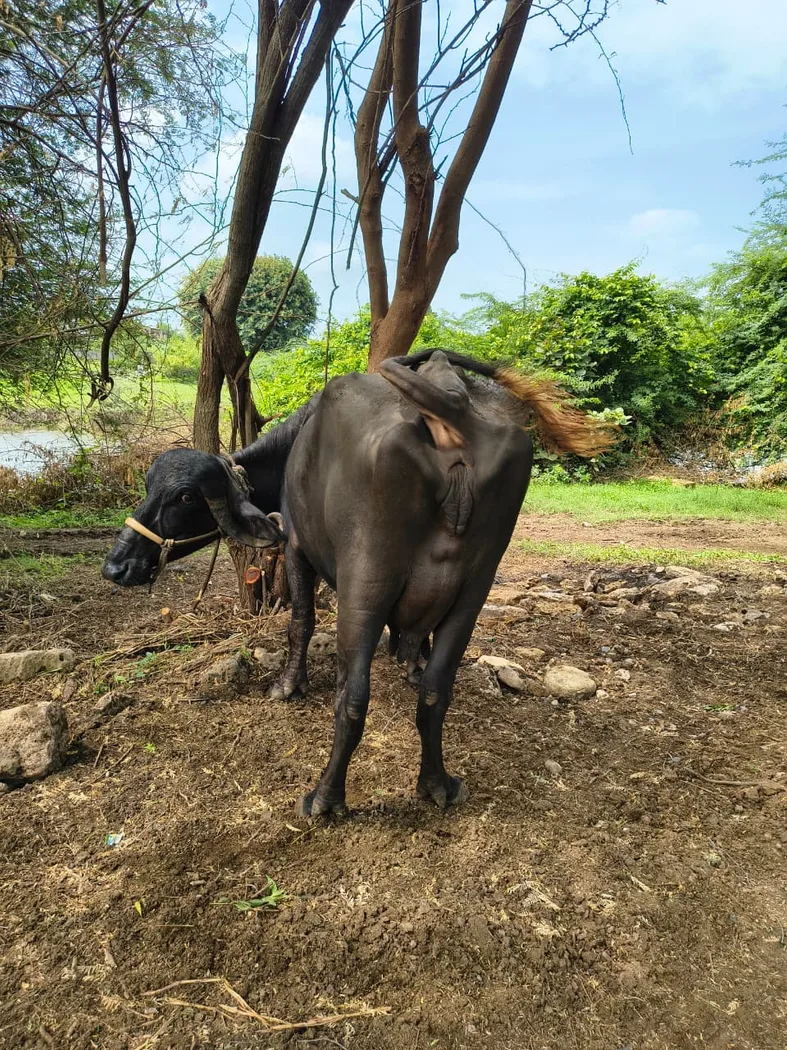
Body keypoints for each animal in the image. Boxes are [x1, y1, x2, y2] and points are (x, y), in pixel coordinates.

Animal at [103, 350, 613, 815]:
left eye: (185, 497)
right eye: (149, 485)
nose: (116, 566)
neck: (295, 449)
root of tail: (457, 414)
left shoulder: (296, 549)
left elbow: (301, 625)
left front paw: (288, 685)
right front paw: (412, 663)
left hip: (364, 584)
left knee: (352, 697)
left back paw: (326, 798)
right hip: (475, 588)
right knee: (436, 691)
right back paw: (437, 784)